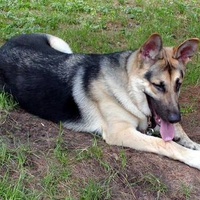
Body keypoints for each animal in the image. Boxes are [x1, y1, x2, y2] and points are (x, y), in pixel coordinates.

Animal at [0, 32, 200, 169]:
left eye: (178, 84)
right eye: (158, 85)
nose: (175, 117)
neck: (127, 86)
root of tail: (7, 44)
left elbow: (177, 133)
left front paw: (192, 144)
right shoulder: (121, 132)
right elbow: (165, 143)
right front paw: (193, 157)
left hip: (63, 46)